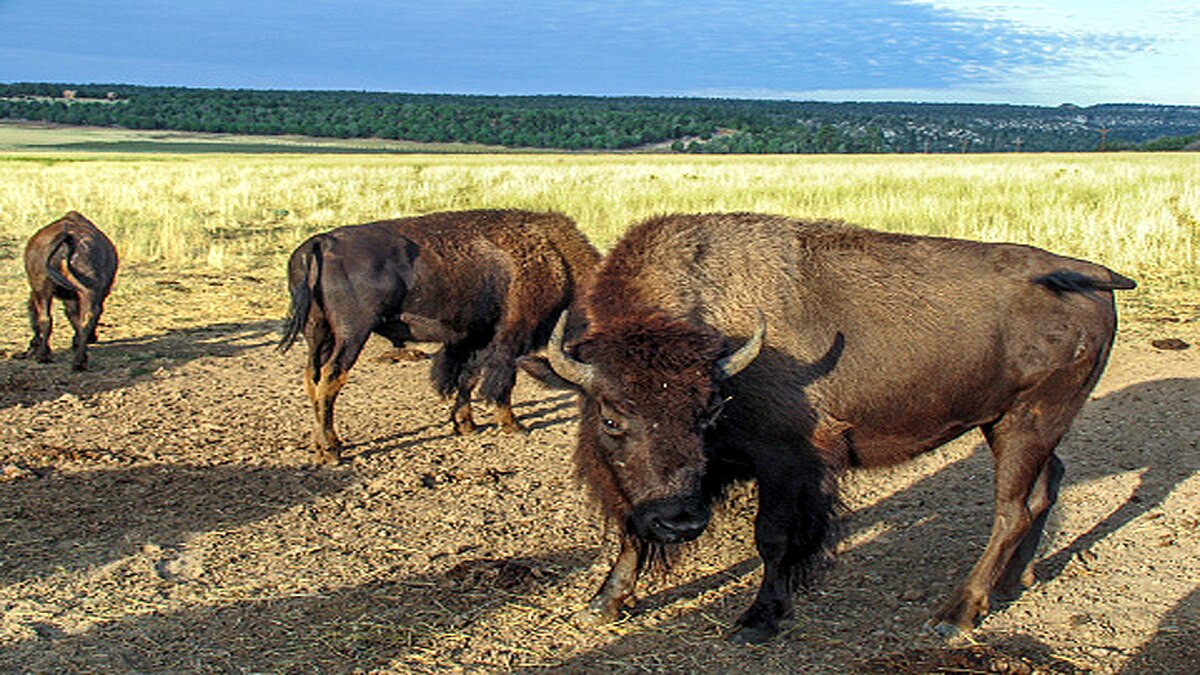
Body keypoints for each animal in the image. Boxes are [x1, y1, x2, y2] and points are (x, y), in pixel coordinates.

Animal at [15, 211, 119, 371]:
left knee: (47, 318)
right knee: (84, 318)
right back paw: (77, 360)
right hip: (85, 291)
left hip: (45, 288)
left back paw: (45, 355)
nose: (93, 338)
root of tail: (66, 238)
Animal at [279, 209, 599, 465]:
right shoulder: (510, 339)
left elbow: (468, 378)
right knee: (332, 377)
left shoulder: (475, 339)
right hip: (351, 334)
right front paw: (513, 425)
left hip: (319, 333)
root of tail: (320, 241)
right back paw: (332, 450)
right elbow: (502, 383)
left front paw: (466, 425)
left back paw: (319, 445)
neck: (556, 259)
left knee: (312, 376)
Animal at [523, 212, 1136, 643]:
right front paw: (604, 603)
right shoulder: (658, 488)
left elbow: (773, 539)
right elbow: (631, 529)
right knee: (1047, 486)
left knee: (1011, 509)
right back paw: (1015, 582)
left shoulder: (787, 461)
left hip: (1027, 424)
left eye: (711, 410)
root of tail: (1091, 274)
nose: (681, 522)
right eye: (610, 416)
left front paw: (758, 619)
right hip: (1014, 423)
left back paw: (955, 614)